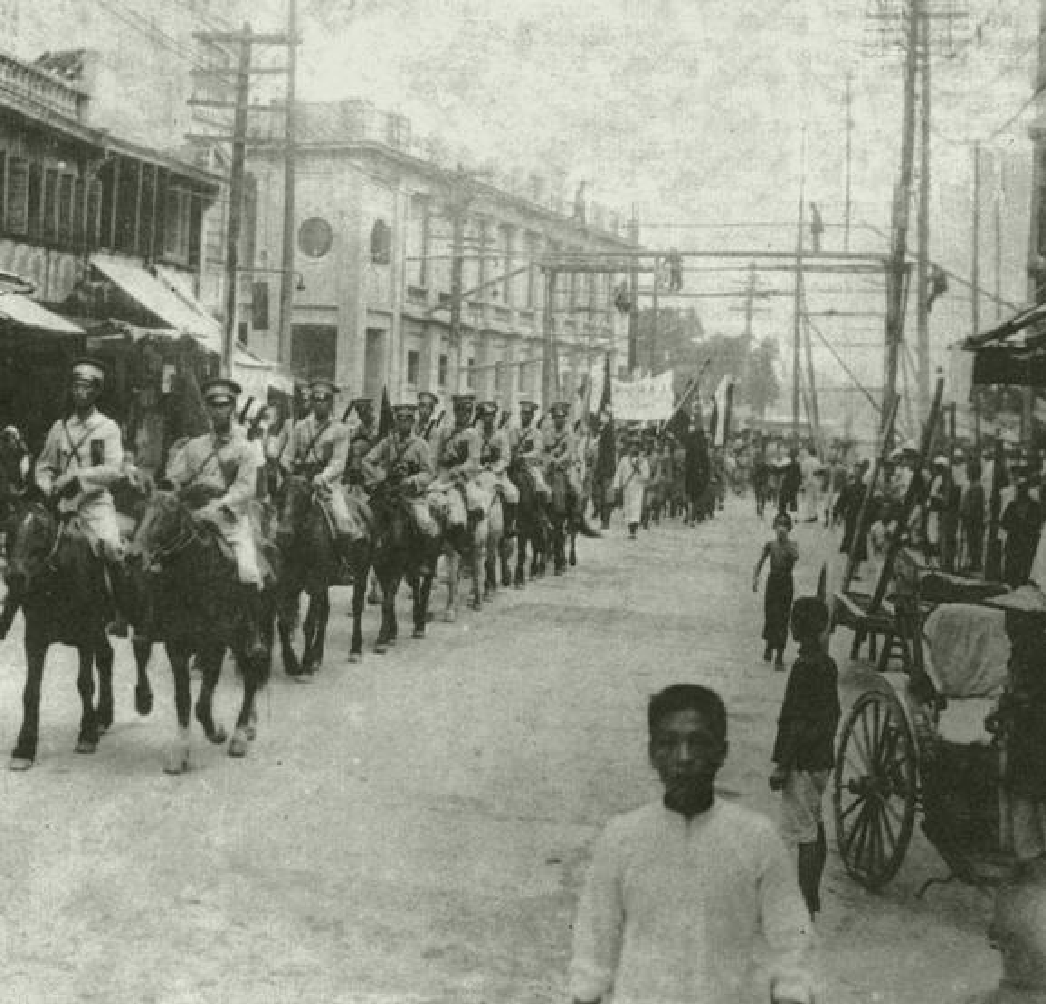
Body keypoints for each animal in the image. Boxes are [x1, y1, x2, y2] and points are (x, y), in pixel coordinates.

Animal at [3, 497, 152, 773]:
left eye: (42, 530)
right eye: (9, 527)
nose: (15, 577)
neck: (57, 578)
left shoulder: (85, 636)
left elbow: (85, 684)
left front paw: (87, 734)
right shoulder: (35, 639)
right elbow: (31, 691)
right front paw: (24, 747)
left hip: (135, 612)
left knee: (140, 650)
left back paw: (143, 699)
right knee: (106, 657)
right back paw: (103, 716)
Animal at [127, 489, 271, 773]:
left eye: (169, 513)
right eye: (139, 510)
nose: (134, 555)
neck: (195, 579)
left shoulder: (215, 645)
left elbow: (203, 705)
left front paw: (217, 732)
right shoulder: (176, 647)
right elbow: (183, 699)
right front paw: (180, 753)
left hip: (245, 640)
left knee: (251, 676)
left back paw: (240, 735)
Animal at [274, 476, 372, 673]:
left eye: (303, 497)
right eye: (280, 495)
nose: (283, 534)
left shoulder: (316, 583)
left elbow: (309, 623)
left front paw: (305, 663)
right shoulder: (290, 586)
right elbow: (284, 623)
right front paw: (291, 663)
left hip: (361, 574)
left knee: (357, 608)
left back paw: (355, 650)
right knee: (325, 613)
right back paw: (318, 656)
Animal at [368, 481, 441, 652]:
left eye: (386, 514)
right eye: (370, 507)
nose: (374, 544)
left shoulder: (397, 568)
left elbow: (388, 601)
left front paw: (382, 639)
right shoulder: (380, 568)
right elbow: (388, 600)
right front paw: (391, 634)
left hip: (430, 561)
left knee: (425, 588)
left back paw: (420, 626)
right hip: (411, 567)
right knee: (415, 587)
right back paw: (416, 618)